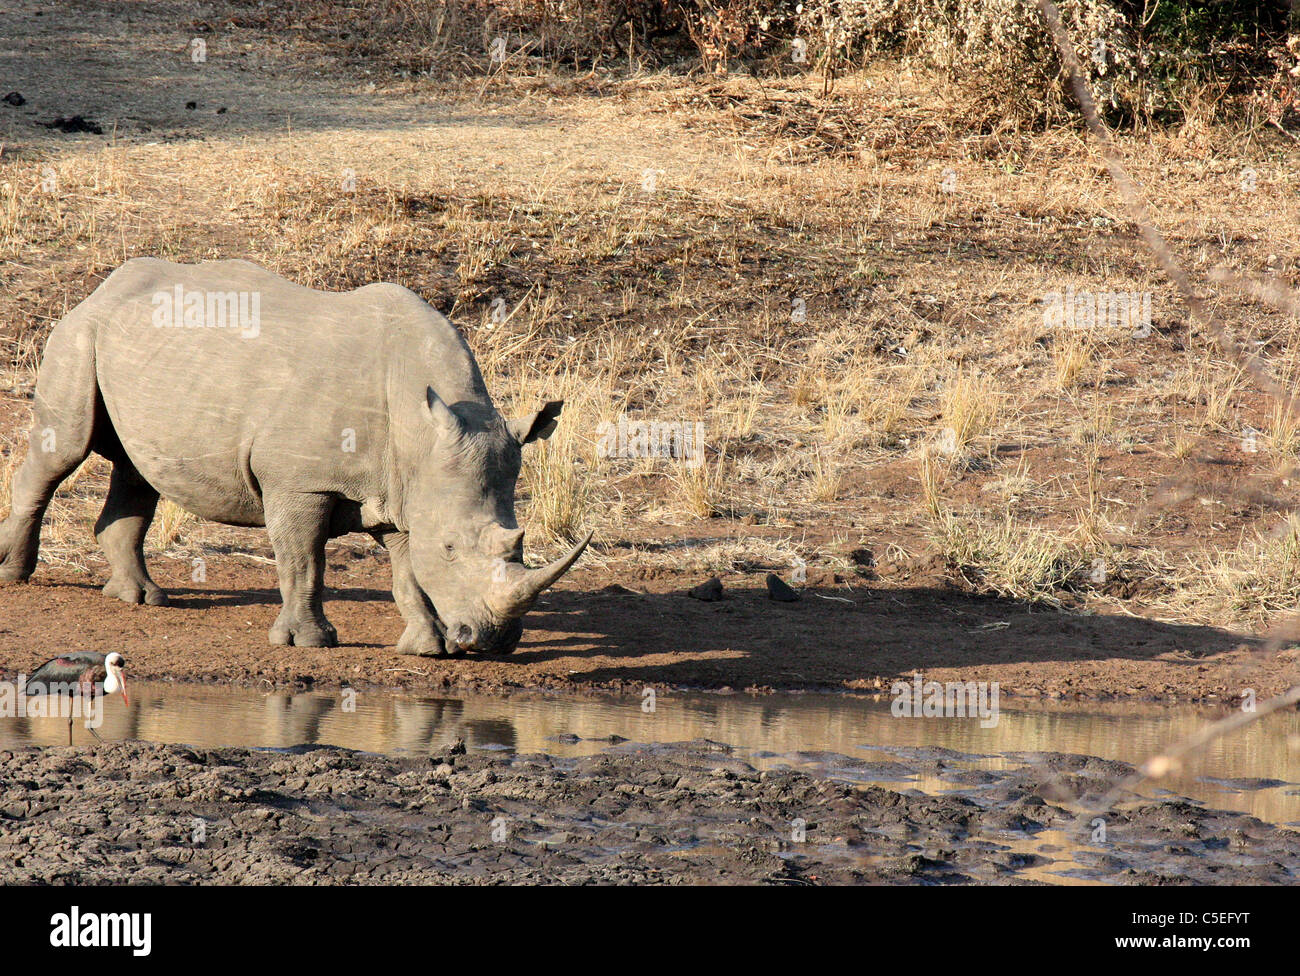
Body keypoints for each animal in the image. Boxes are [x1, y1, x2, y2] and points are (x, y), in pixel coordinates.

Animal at [0, 258, 591, 656]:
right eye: (450, 547)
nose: (492, 641)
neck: (420, 431)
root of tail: (103, 287)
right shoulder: (297, 480)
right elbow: (303, 560)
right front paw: (309, 643)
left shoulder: (406, 489)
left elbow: (406, 572)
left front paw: (429, 647)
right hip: (80, 334)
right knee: (63, 449)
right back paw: (14, 575)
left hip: (145, 355)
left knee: (136, 468)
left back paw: (141, 598)